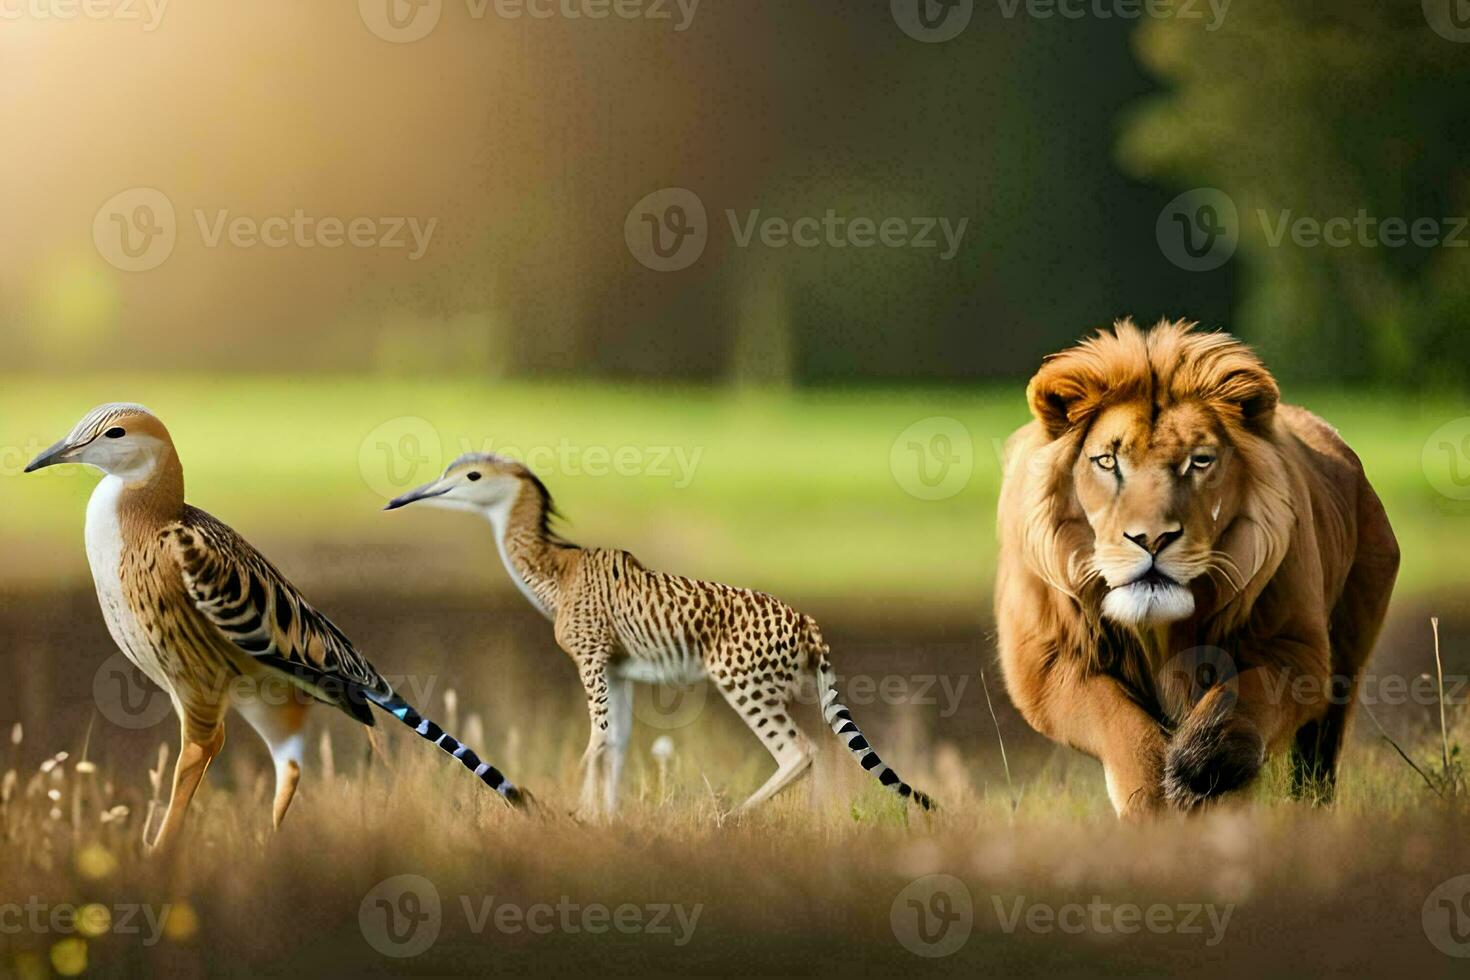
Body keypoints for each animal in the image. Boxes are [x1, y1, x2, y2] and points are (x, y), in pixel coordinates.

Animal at [999, 320, 1399, 811]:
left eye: (1200, 461)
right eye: (1107, 461)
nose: (1151, 539)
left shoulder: (1294, 649)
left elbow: (1240, 700)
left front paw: (1198, 770)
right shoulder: (1046, 663)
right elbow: (1120, 725)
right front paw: (1155, 796)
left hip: (1346, 660)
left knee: (1315, 767)